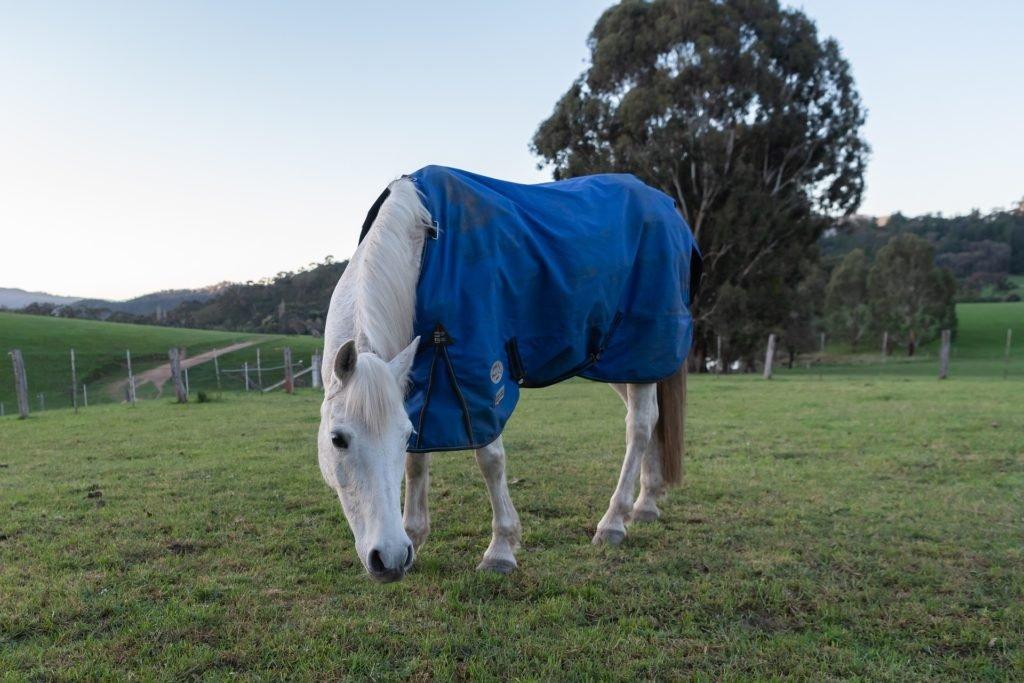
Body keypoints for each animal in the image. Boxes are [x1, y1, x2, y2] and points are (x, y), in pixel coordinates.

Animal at [318, 166, 699, 582]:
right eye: (338, 439)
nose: (388, 558)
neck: (424, 241)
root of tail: (667, 206)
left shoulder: (478, 379)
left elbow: (490, 459)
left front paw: (500, 549)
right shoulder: (424, 383)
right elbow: (417, 462)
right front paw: (415, 535)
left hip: (644, 348)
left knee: (640, 425)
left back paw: (614, 521)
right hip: (621, 361)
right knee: (651, 419)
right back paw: (646, 502)